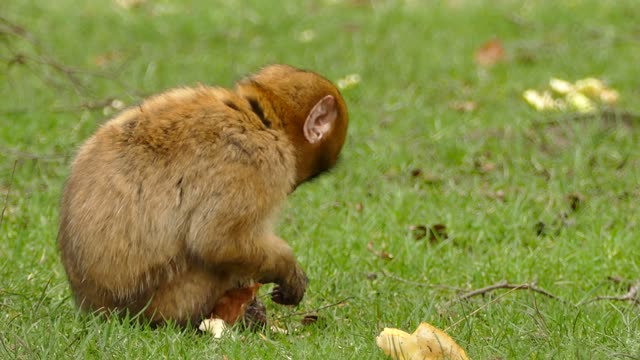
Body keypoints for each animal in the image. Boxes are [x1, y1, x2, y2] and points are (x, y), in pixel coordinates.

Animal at [58, 64, 350, 326]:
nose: (293, 187)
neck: (259, 118)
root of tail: (95, 307)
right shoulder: (256, 163)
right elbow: (216, 240)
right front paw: (288, 269)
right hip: (169, 299)